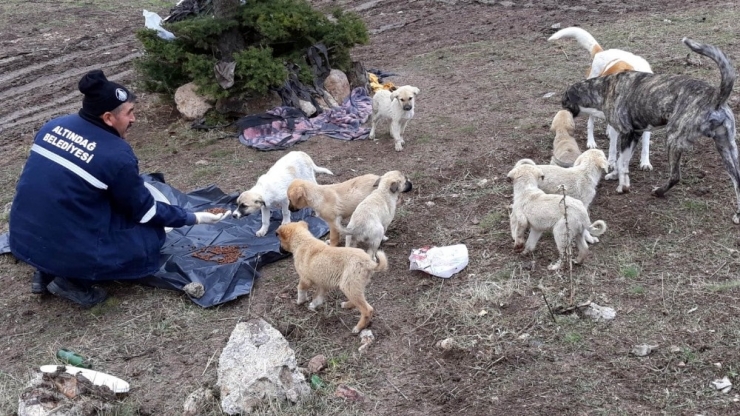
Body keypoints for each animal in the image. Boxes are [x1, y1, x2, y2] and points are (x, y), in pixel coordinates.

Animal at [548, 26, 652, 172]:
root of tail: (601, 52)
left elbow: (645, 146)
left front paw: (645, 162)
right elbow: (613, 148)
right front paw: (611, 163)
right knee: (591, 123)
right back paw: (591, 141)